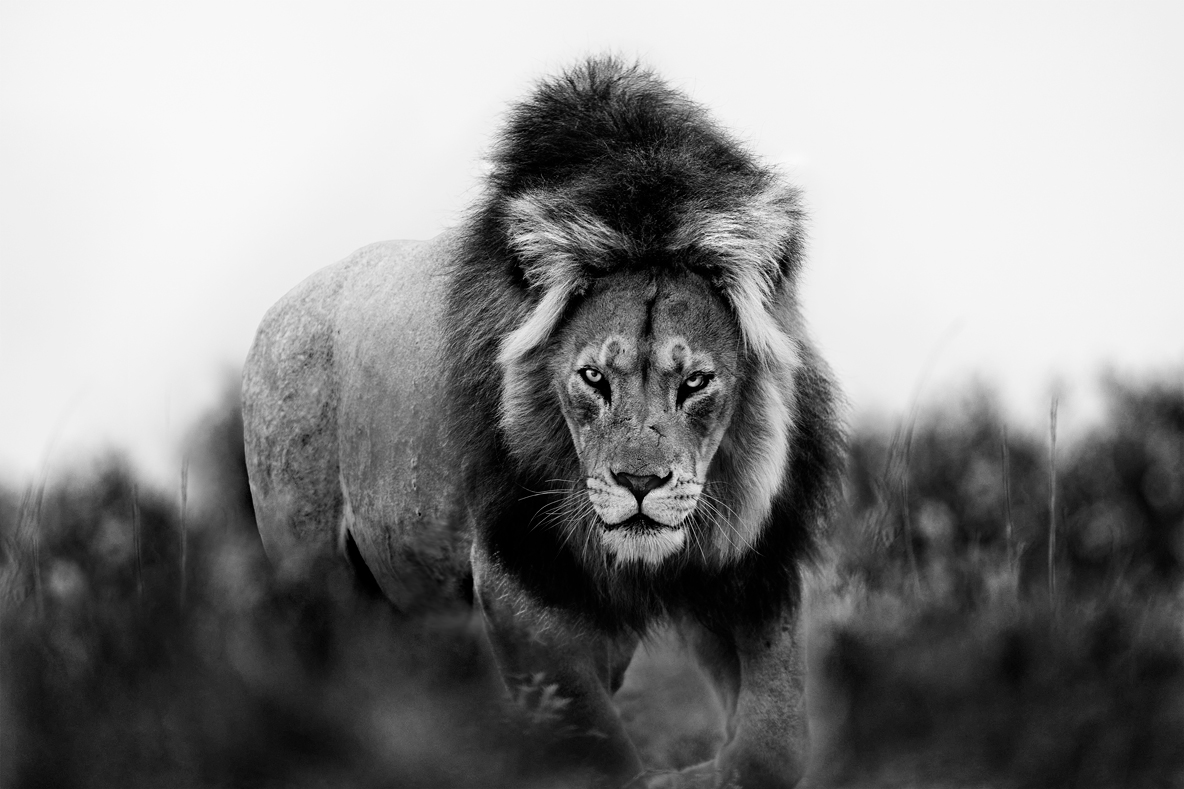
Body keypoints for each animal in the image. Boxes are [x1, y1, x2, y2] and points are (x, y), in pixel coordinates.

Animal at [242, 58, 844, 788]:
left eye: (696, 381)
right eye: (593, 377)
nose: (639, 483)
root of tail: (279, 307)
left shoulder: (756, 565)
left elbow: (777, 741)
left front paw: (699, 772)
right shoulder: (516, 574)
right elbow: (594, 748)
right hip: (311, 564)